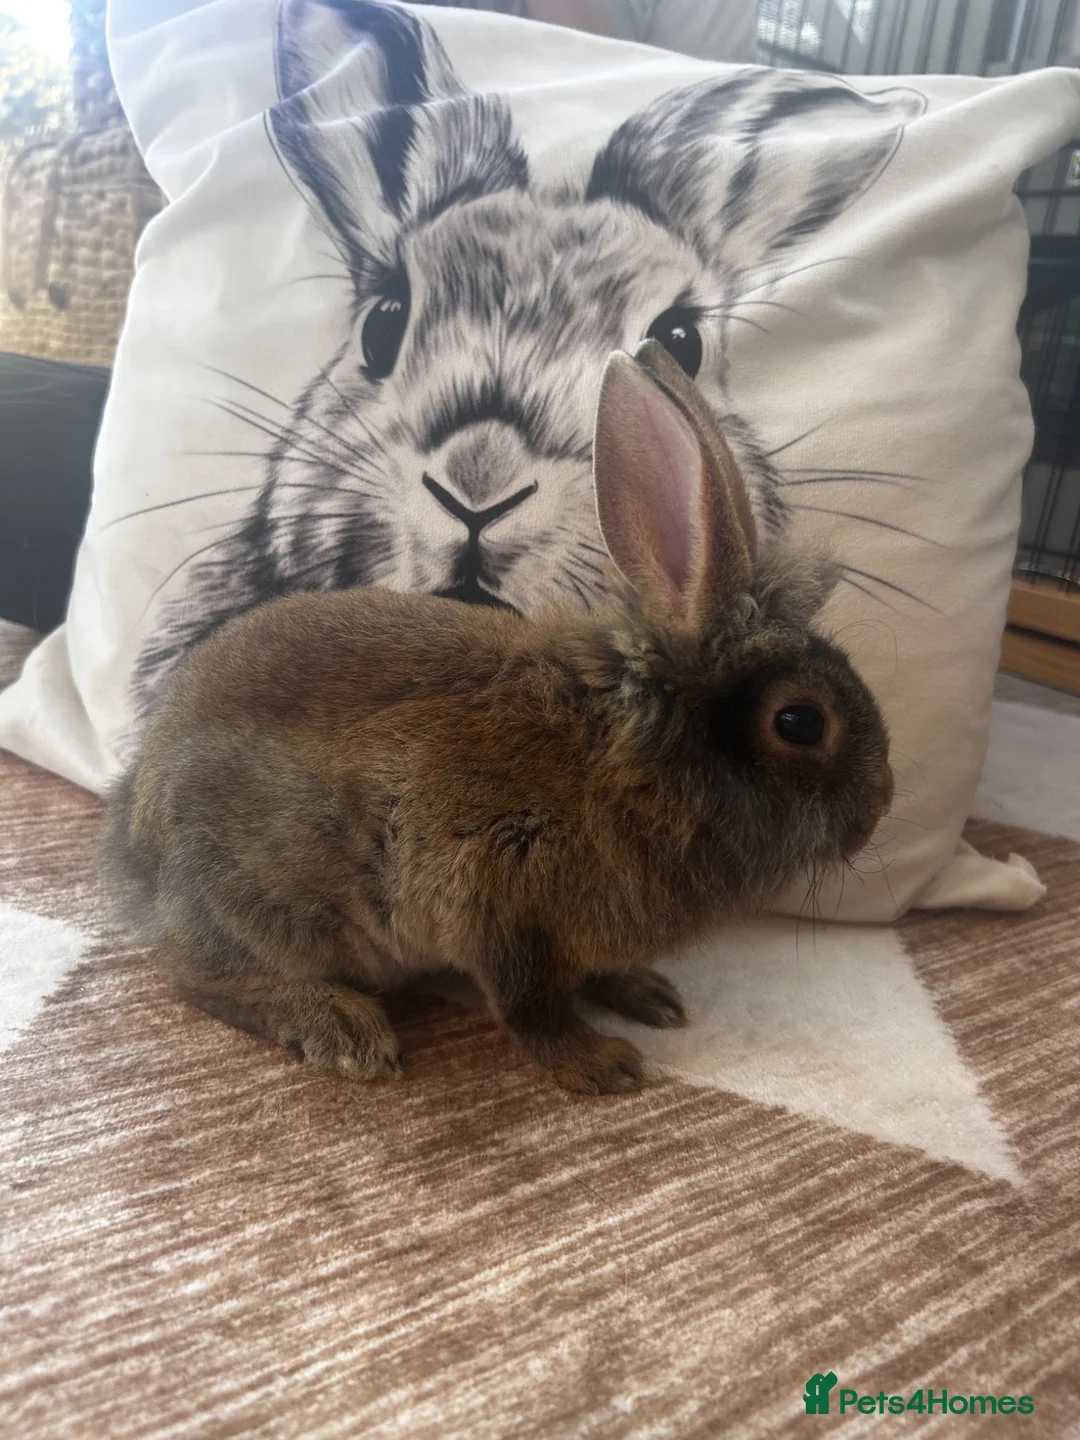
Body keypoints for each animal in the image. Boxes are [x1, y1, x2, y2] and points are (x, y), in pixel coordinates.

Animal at [107, 338, 893, 1095]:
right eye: (800, 723)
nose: (878, 810)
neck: (626, 760)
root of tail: (139, 847)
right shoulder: (497, 897)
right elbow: (529, 1006)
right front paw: (601, 1066)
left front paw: (650, 996)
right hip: (271, 907)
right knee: (196, 976)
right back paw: (343, 1029)